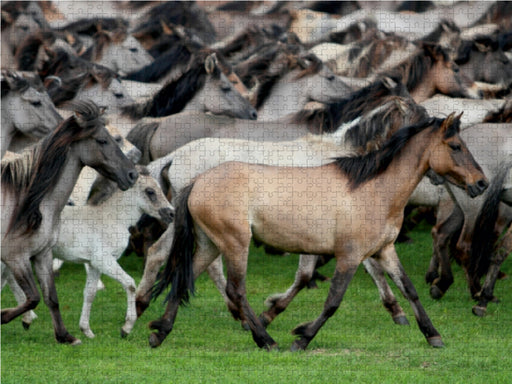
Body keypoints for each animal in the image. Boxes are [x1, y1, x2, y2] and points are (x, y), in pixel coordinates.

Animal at [149, 113, 488, 352]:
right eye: (456, 147)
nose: (481, 183)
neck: (374, 189)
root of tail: (198, 181)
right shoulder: (349, 256)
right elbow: (333, 300)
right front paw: (301, 337)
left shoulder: (385, 251)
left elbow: (410, 290)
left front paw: (433, 335)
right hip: (235, 244)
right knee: (236, 290)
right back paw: (265, 339)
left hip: (210, 244)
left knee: (183, 278)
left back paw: (160, 332)